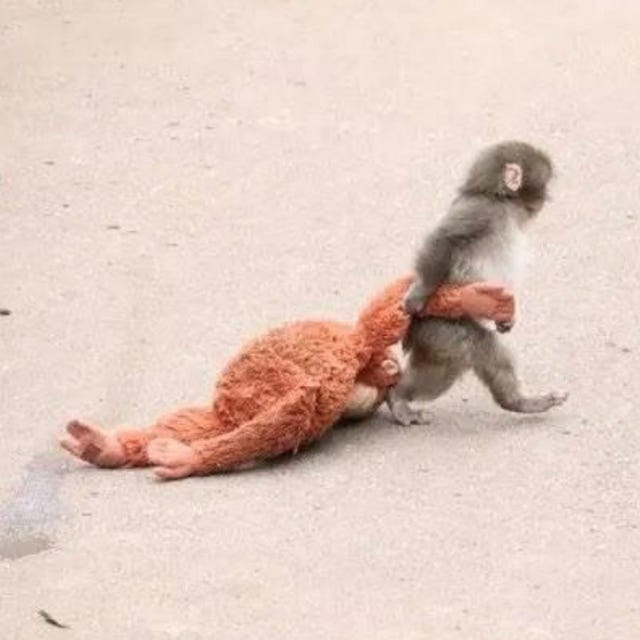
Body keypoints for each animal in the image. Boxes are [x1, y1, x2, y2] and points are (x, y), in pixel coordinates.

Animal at [387, 140, 568, 426]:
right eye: (546, 183)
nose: (547, 198)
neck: (500, 200)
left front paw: (506, 320)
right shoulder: (481, 212)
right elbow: (444, 239)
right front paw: (418, 294)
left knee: (446, 369)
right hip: (440, 327)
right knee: (479, 349)